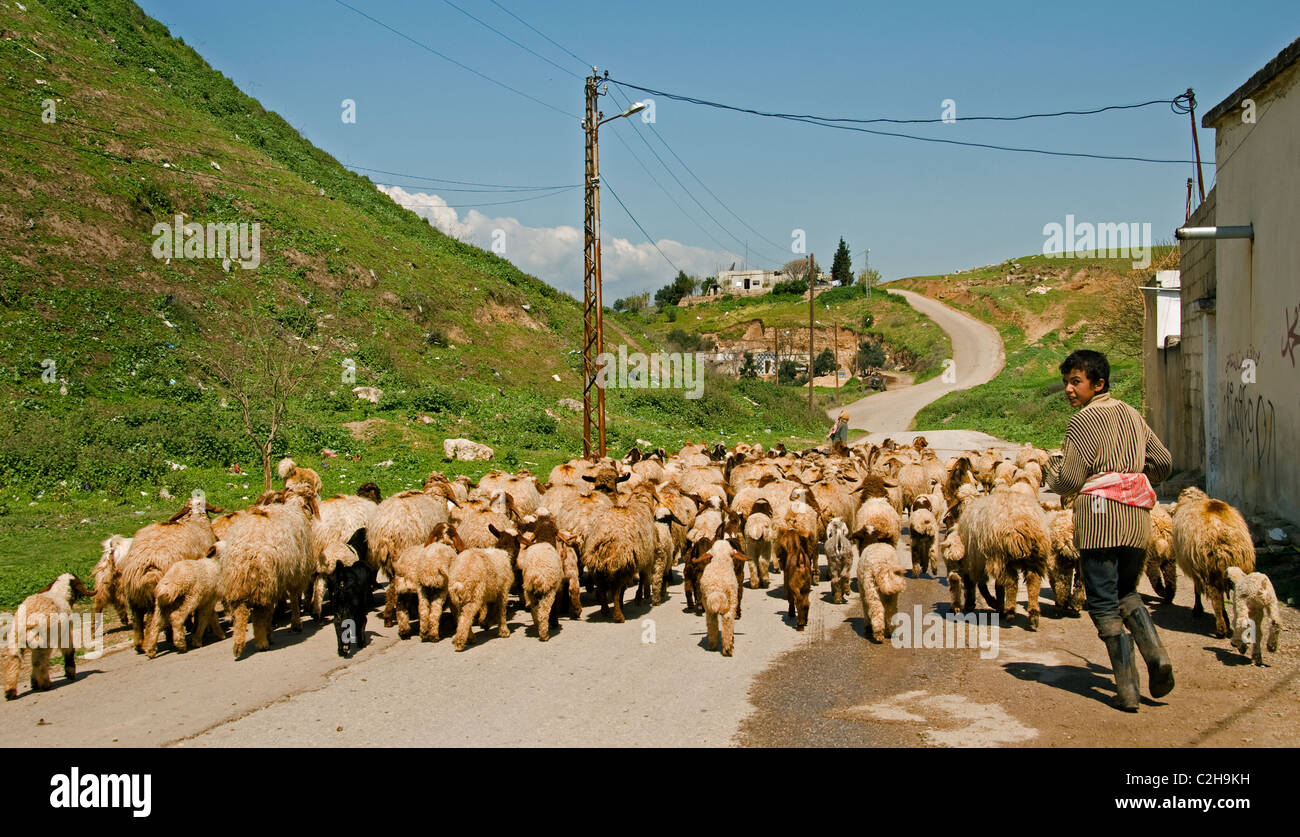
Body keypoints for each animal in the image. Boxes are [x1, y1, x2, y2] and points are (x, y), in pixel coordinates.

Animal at [120, 496, 219, 655]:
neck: (195, 520)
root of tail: (145, 565)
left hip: (135, 596)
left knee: (138, 621)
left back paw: (140, 645)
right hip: (158, 595)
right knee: (154, 621)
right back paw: (162, 642)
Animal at [219, 486, 318, 657]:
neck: (295, 508)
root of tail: (245, 553)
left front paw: (271, 632)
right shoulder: (296, 574)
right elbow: (294, 599)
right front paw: (296, 624)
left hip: (238, 585)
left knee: (240, 613)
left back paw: (238, 645)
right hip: (263, 582)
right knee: (258, 614)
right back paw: (262, 643)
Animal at [1175, 486, 1253, 636]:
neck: (1194, 499)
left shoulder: (1196, 569)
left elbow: (1197, 590)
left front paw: (1197, 610)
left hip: (1208, 568)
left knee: (1216, 599)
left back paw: (1221, 628)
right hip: (1234, 568)